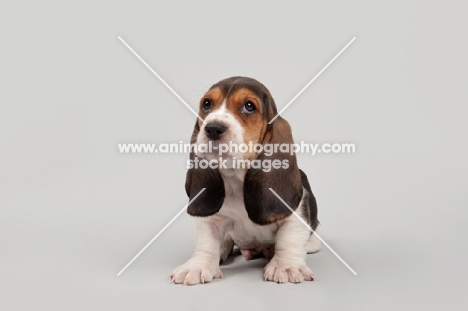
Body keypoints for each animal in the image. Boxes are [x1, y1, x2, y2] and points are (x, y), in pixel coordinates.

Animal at [170, 76, 320, 286]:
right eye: (207, 104)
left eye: (249, 106)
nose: (212, 128)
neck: (236, 178)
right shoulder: (210, 219)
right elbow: (207, 241)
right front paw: (197, 266)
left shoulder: (297, 212)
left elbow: (289, 237)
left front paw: (286, 266)